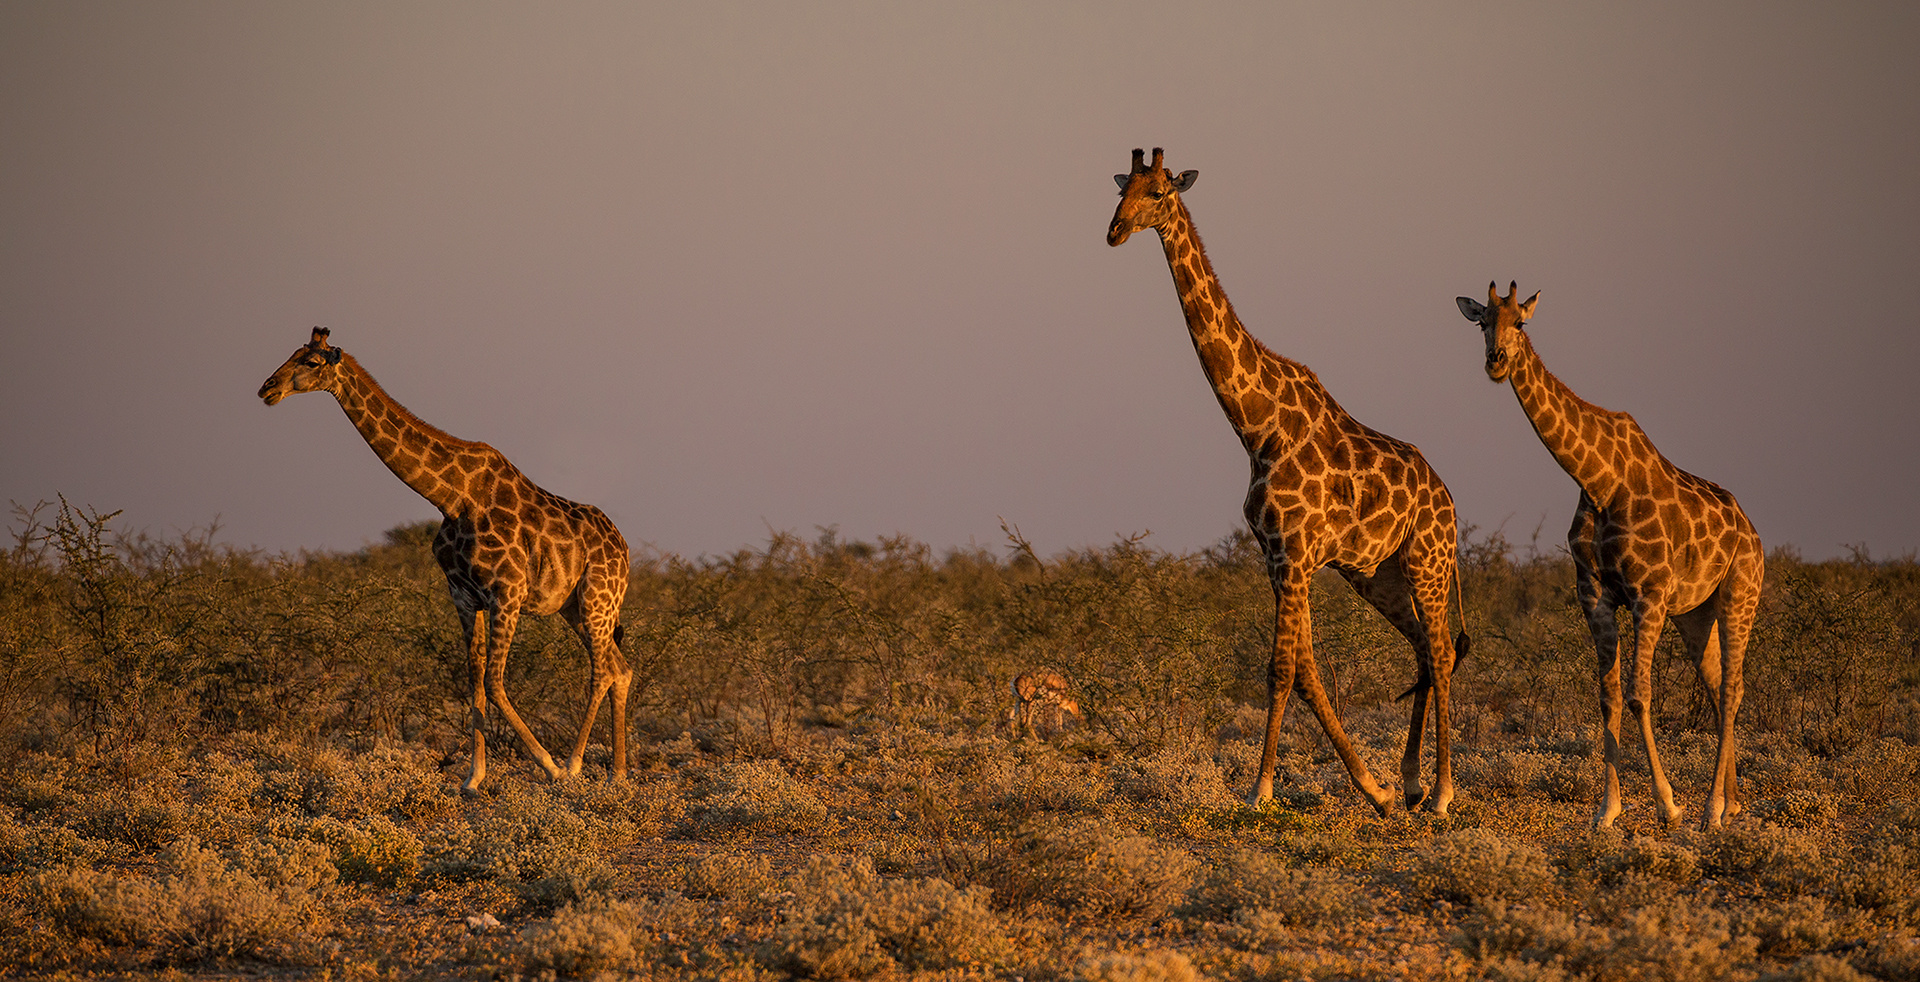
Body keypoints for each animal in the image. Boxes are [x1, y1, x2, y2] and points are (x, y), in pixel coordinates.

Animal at [259, 326, 633, 795]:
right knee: (621, 668)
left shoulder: (507, 593)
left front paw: (548, 766)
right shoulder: (464, 596)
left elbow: (494, 683)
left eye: (310, 362)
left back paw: (574, 765)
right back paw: (618, 774)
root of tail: (624, 549)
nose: (266, 389)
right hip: (576, 608)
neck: (451, 496)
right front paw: (473, 779)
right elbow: (474, 680)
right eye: (290, 353)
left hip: (597, 598)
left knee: (602, 671)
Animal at [1105, 149, 1459, 814]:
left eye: (1159, 192)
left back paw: (1445, 792)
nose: (1113, 231)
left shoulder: (1294, 554)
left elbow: (1280, 670)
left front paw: (1260, 790)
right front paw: (1373, 789)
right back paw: (1410, 782)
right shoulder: (1278, 557)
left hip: (1428, 561)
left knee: (1444, 651)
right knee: (1423, 650)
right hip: (1377, 573)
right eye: (1121, 190)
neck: (1256, 426)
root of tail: (1449, 498)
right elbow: (1307, 674)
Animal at [1451, 286, 1758, 830]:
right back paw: (1732, 800)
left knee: (1731, 688)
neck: (1597, 480)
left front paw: (1668, 804)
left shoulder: (1648, 596)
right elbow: (1608, 695)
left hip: (1739, 595)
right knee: (1720, 684)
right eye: (1482, 321)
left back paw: (1711, 811)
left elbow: (1638, 695)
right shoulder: (1594, 595)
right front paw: (1607, 811)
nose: (1496, 361)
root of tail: (1754, 531)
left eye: (1520, 323)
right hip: (1696, 613)